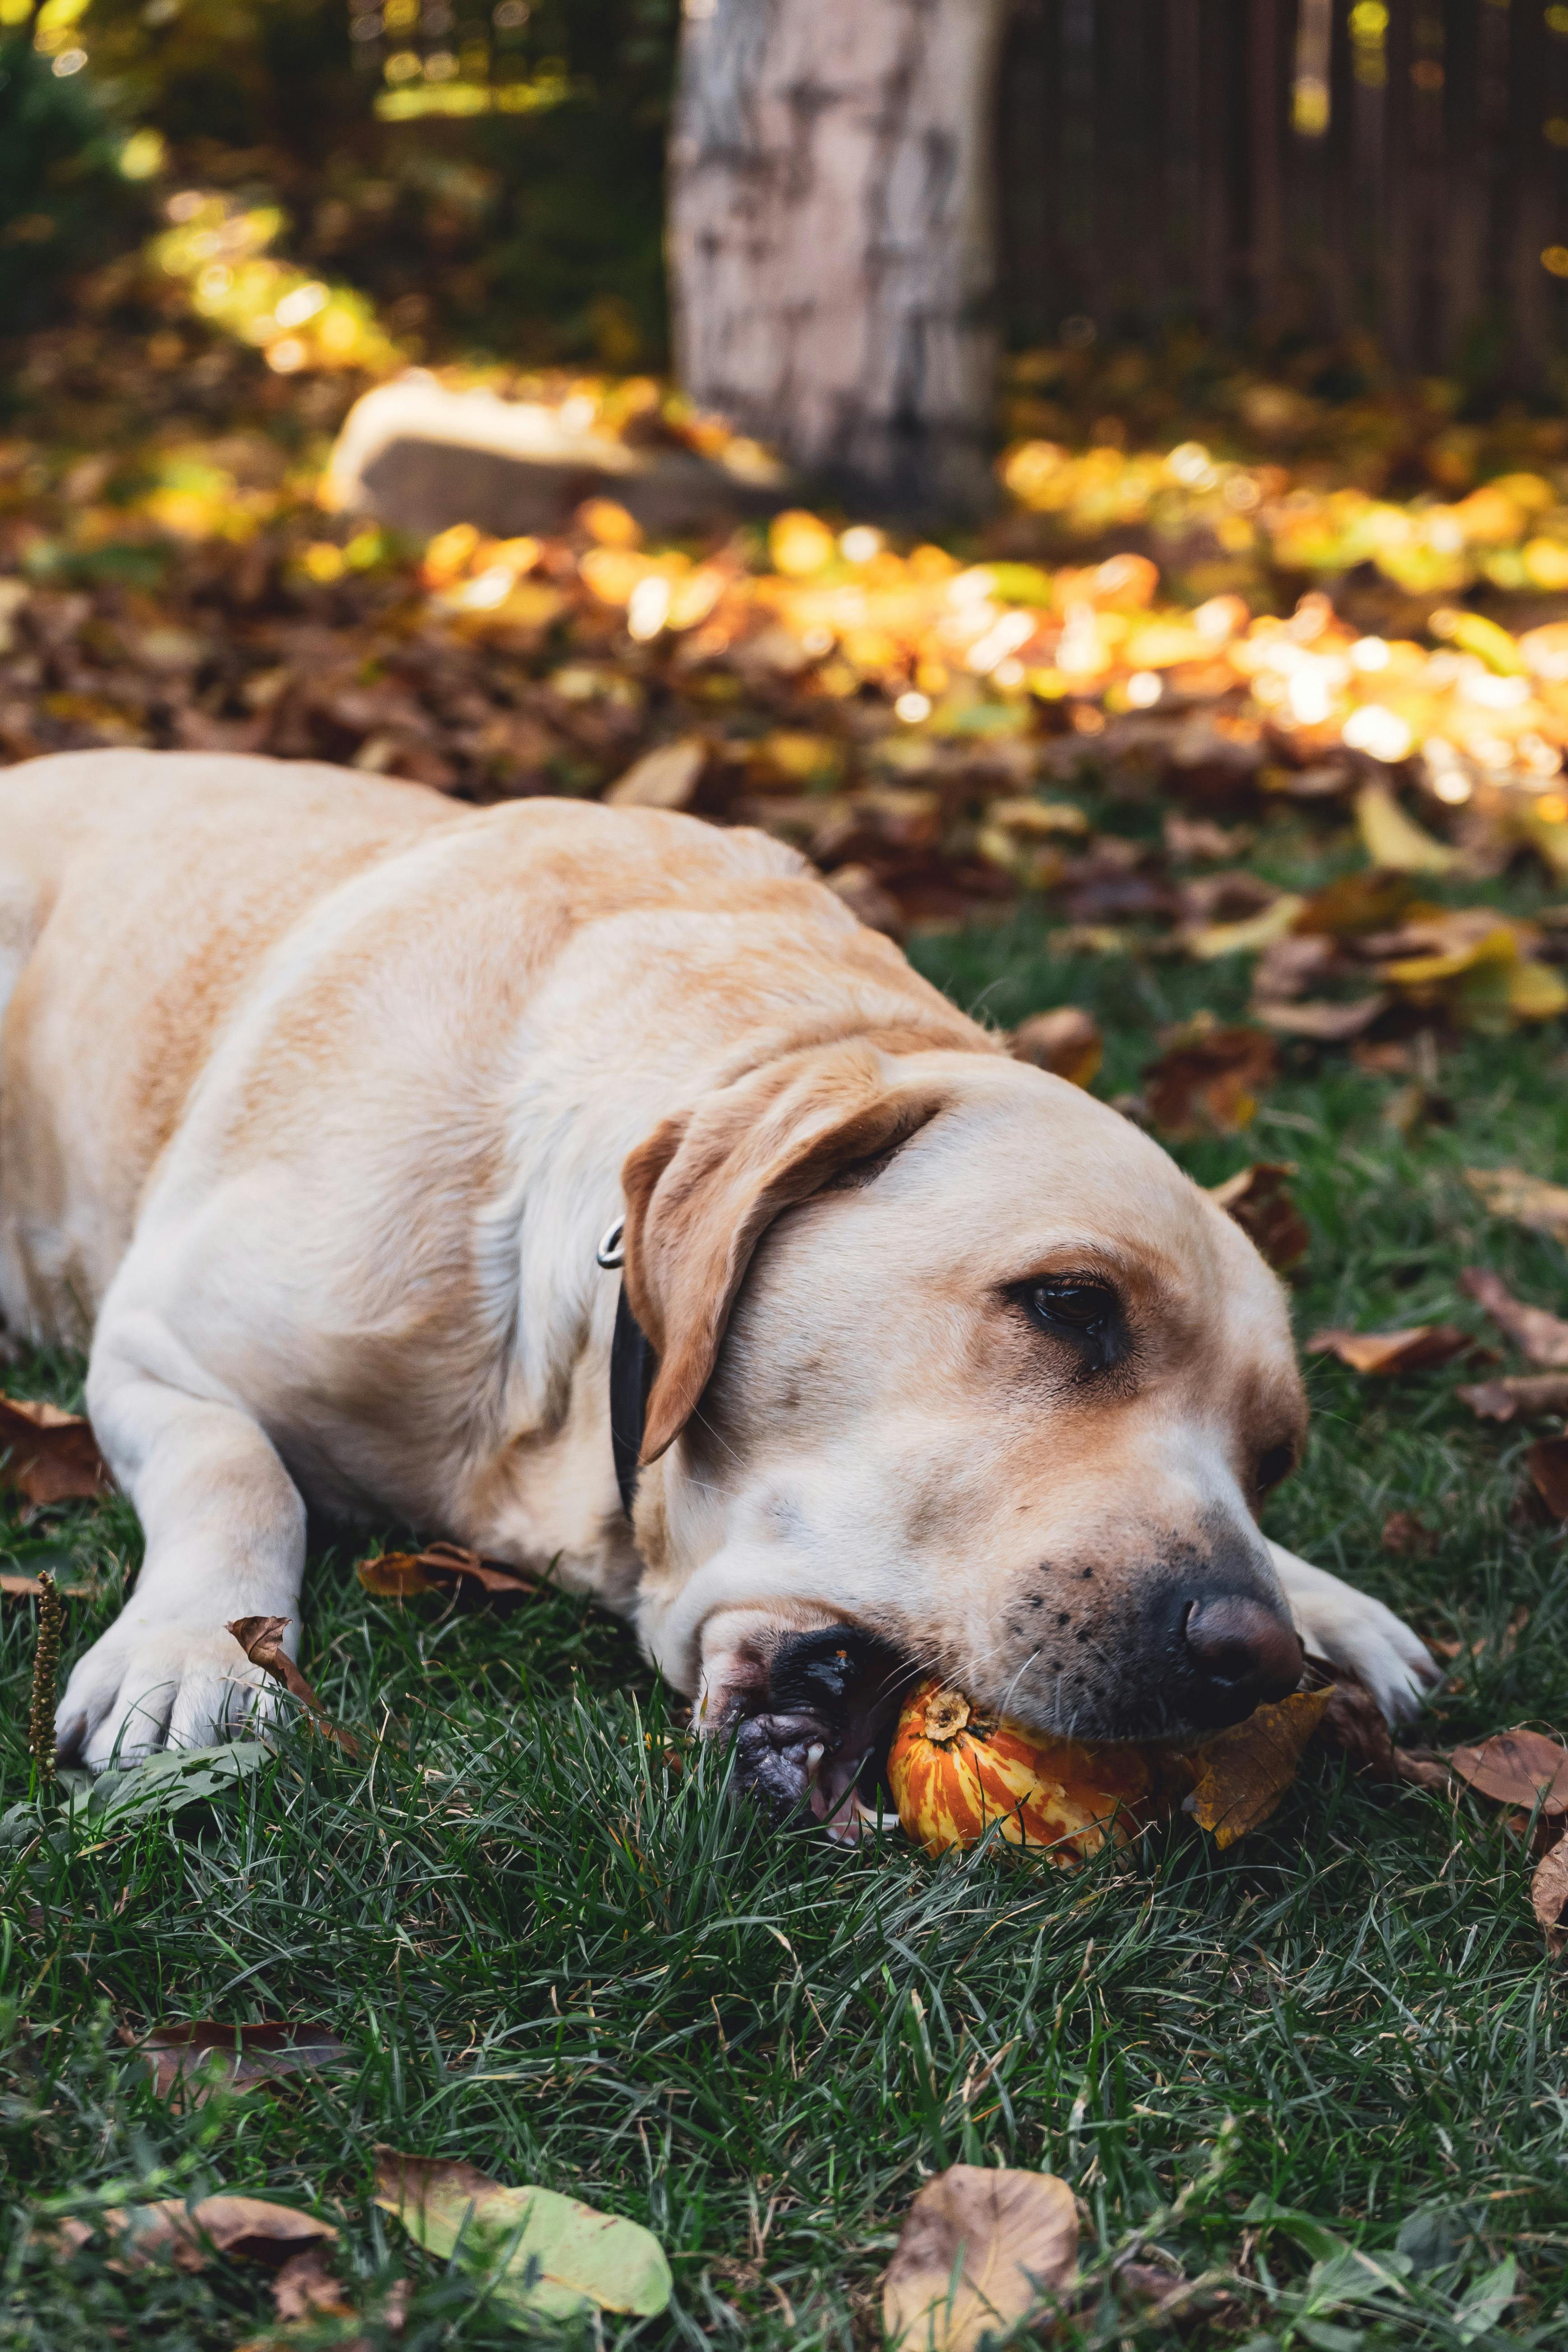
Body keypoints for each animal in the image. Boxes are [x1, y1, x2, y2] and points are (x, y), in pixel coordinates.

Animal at [0, 748, 1438, 1816]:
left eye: (1273, 1458)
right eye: (1071, 1303)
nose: (1249, 1656)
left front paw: (1326, 1598)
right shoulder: (157, 1344)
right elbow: (237, 1470)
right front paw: (192, 1645)